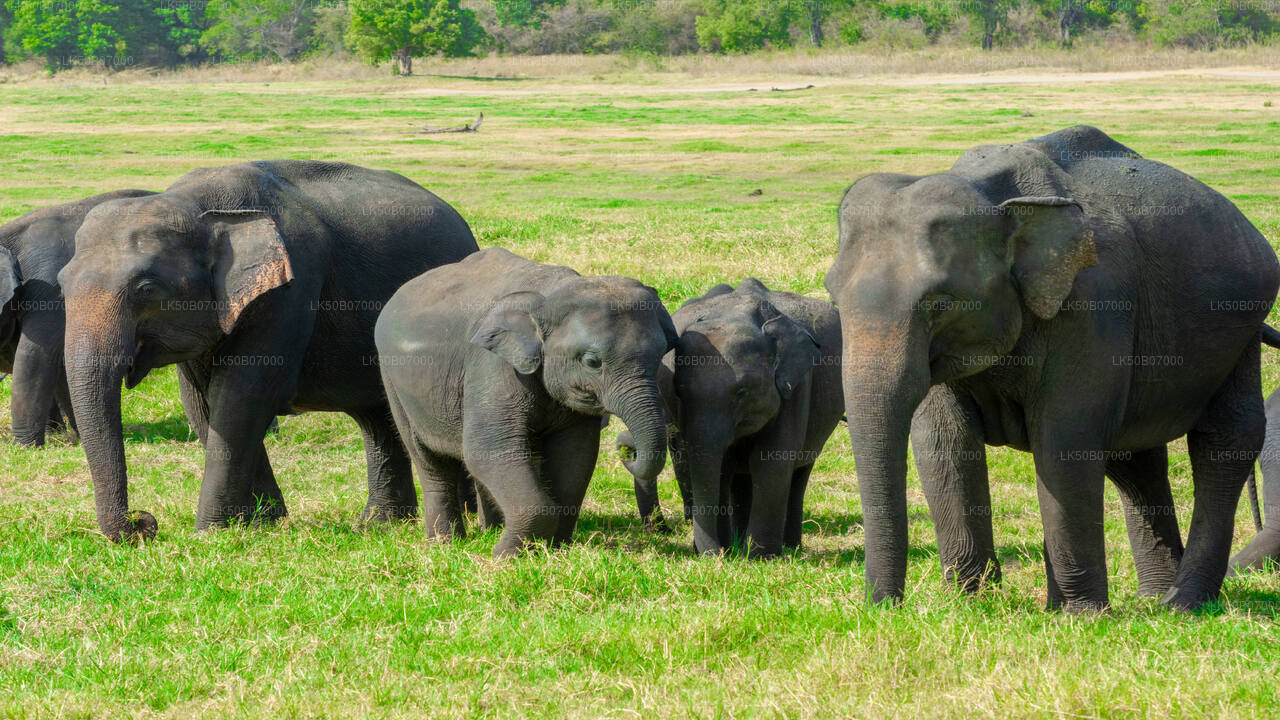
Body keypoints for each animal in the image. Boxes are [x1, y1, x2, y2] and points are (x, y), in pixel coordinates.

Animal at [60, 158, 481, 538]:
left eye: (146, 288)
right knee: (378, 418)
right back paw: (380, 523)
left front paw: (210, 533)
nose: (144, 524)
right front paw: (263, 520)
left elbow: (242, 396)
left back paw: (463, 515)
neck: (197, 205)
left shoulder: (291, 289)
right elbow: (202, 404)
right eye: (62, 284)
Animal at [373, 245, 680, 556]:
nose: (628, 452)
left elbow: (576, 454)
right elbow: (489, 447)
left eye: (660, 356)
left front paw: (555, 548)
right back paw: (445, 543)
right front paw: (505, 555)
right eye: (592, 362)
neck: (550, 296)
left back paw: (490, 530)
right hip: (392, 381)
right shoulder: (492, 364)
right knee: (430, 461)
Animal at [616, 275, 844, 556]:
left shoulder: (797, 387)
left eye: (742, 392)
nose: (712, 555)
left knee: (800, 468)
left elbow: (771, 461)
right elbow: (722, 466)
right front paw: (729, 552)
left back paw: (788, 549)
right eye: (679, 392)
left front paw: (762, 558)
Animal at [829, 126, 1280, 607]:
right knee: (1133, 458)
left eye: (941, 304)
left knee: (1225, 439)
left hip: (1241, 325)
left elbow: (1065, 440)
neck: (993, 196)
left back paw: (1182, 604)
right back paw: (1151, 599)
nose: (884, 606)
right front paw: (969, 603)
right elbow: (943, 440)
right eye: (834, 299)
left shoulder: (1093, 305)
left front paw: (1077, 614)